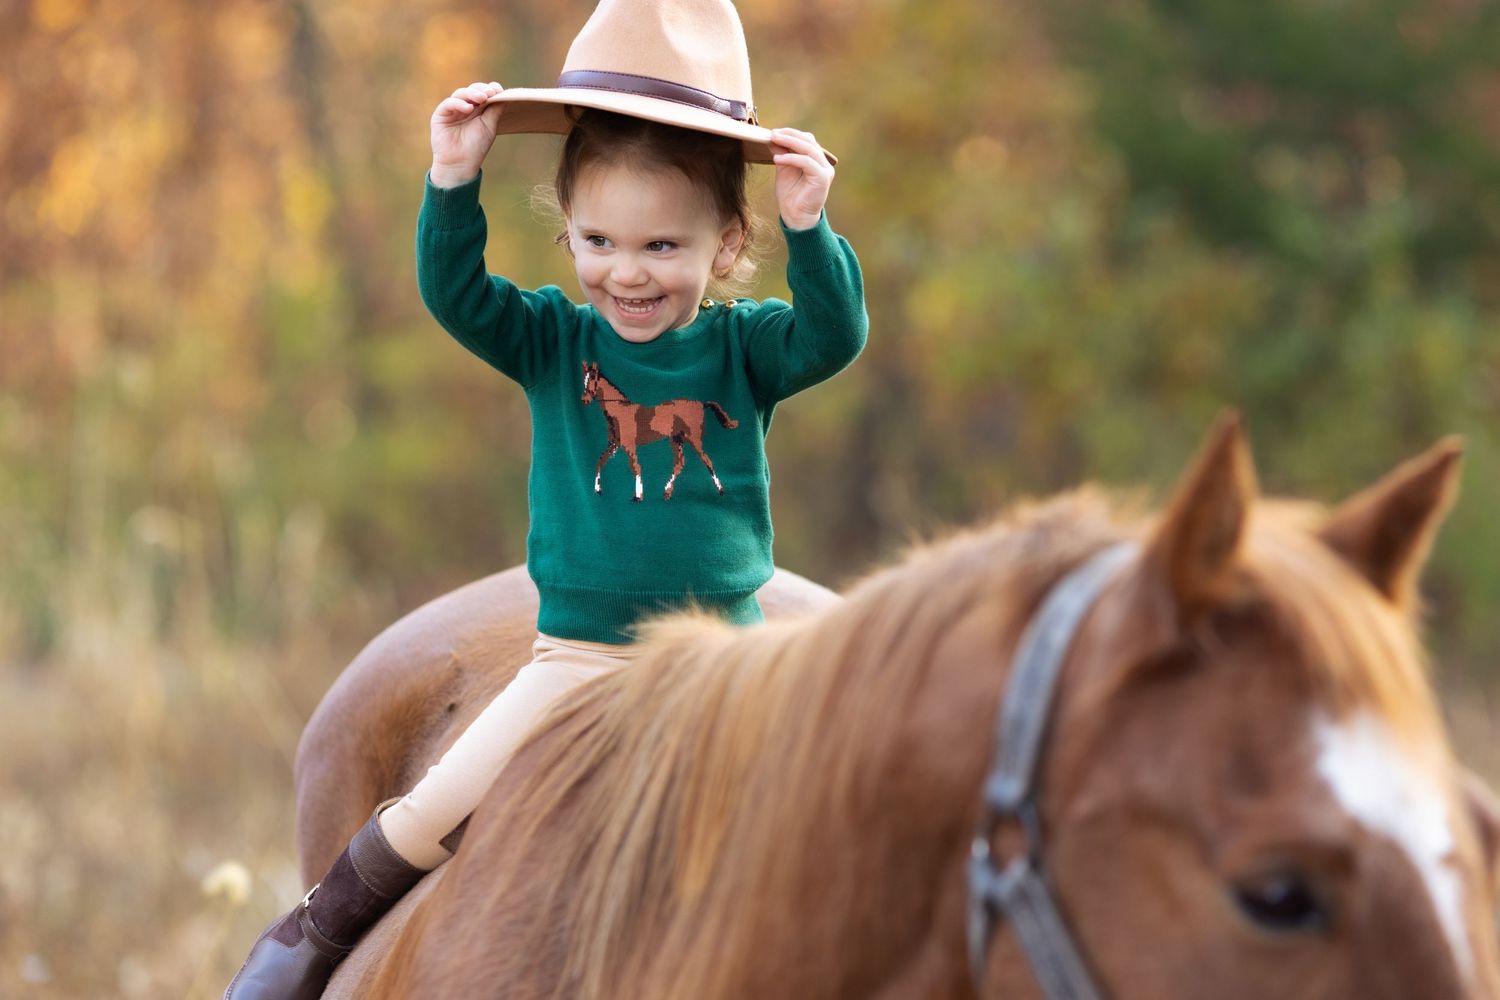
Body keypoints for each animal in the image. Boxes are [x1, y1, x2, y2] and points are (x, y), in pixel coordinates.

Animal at [579, 361, 738, 501]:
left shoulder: (629, 445)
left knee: (707, 461)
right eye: (584, 379)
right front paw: (598, 490)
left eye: (593, 378)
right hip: (676, 439)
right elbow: (600, 462)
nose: (584, 400)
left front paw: (638, 496)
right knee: (680, 463)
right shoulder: (614, 444)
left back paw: (720, 490)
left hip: (694, 439)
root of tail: (701, 404)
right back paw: (667, 492)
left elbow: (635, 467)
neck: (619, 411)